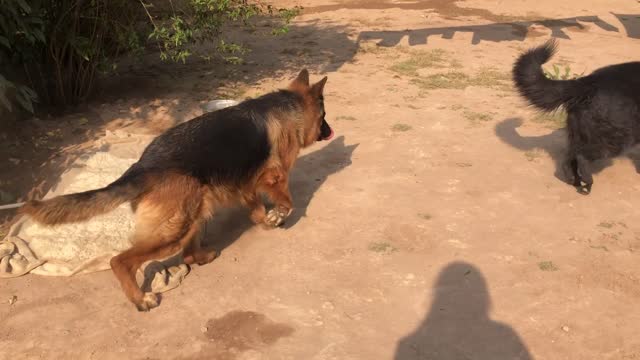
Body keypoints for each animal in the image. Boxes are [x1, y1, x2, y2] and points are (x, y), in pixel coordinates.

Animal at [18, 69, 336, 310]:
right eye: (323, 116)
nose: (330, 131)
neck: (287, 108)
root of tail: (142, 167)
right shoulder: (273, 177)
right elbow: (287, 201)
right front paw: (278, 216)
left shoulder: (246, 182)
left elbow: (256, 207)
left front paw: (265, 220)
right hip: (174, 228)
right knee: (121, 260)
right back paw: (140, 299)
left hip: (195, 208)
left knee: (188, 254)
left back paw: (203, 257)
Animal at [516, 39, 640, 194]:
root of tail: (587, 82)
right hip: (617, 137)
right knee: (581, 157)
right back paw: (587, 181)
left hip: (581, 133)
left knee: (569, 158)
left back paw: (574, 181)